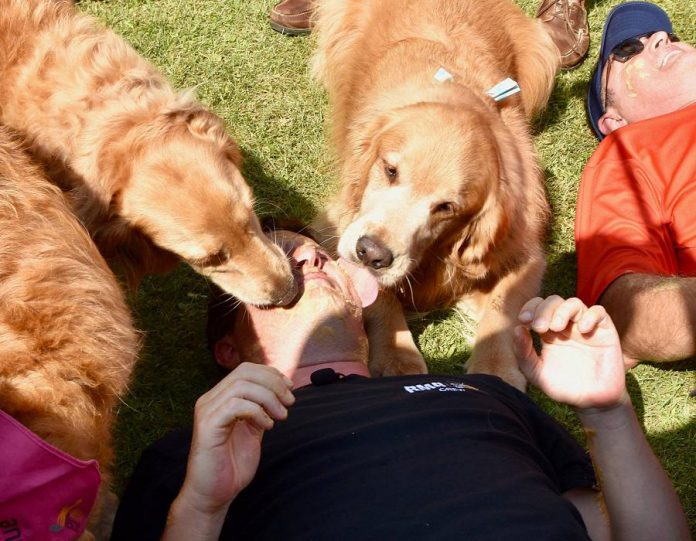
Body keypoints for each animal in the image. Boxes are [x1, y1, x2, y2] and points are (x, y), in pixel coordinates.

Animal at [314, 0, 560, 388]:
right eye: (390, 170)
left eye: (446, 207)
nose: (371, 253)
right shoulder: (337, 223)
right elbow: (379, 297)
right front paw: (397, 356)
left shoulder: (525, 247)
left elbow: (504, 305)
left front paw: (496, 365)